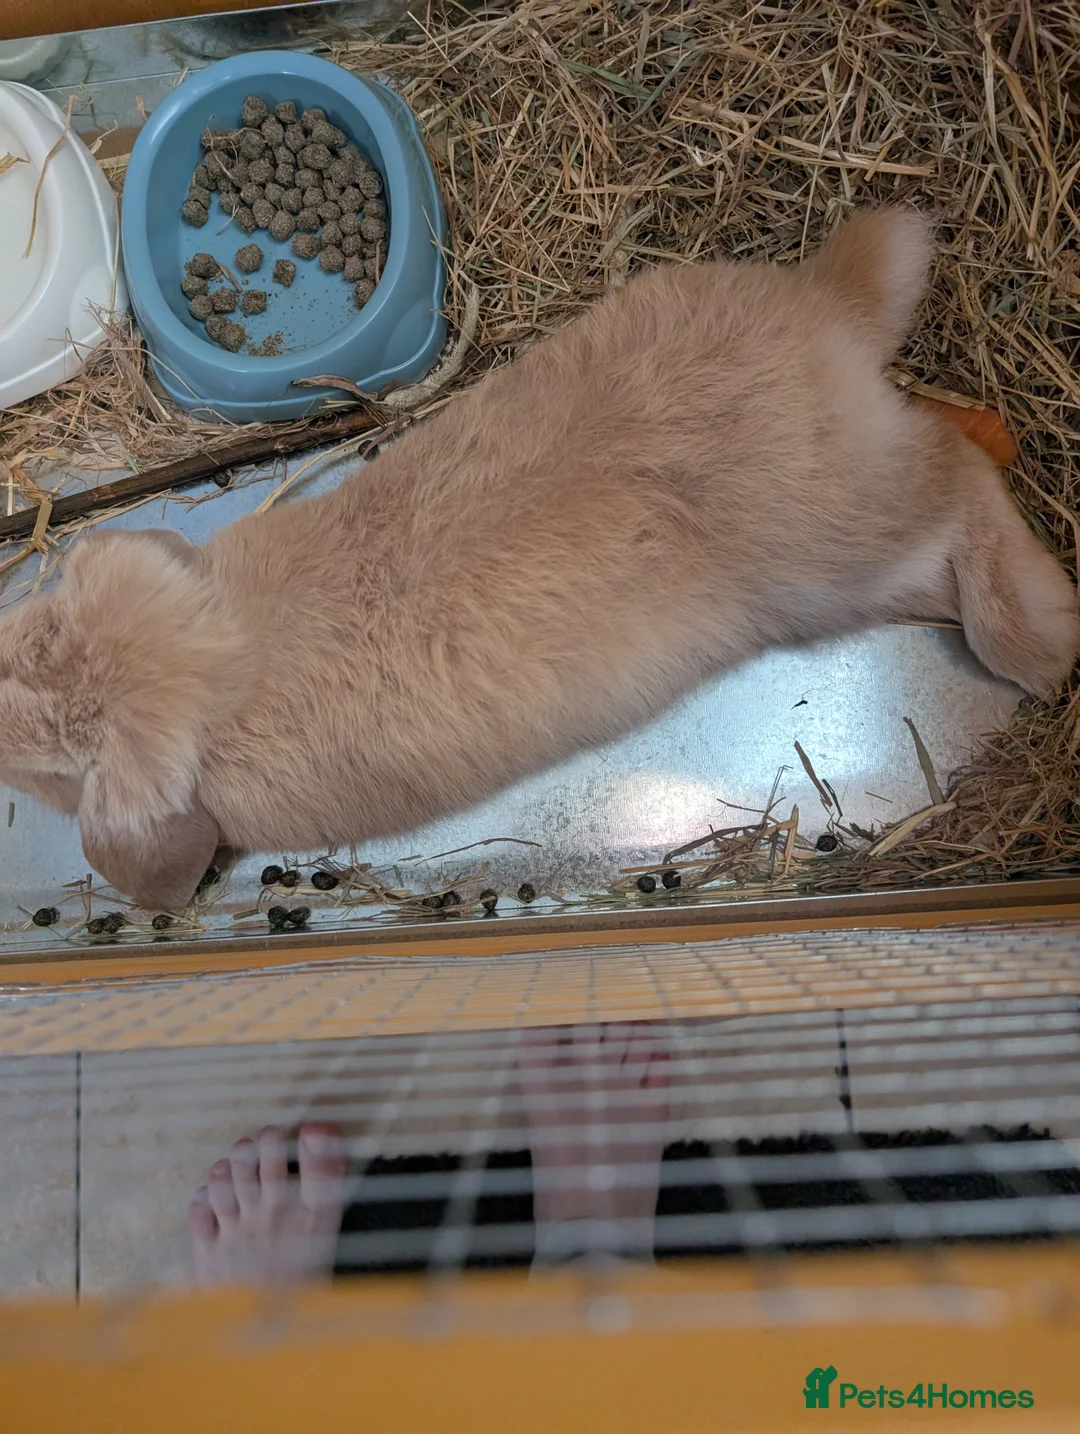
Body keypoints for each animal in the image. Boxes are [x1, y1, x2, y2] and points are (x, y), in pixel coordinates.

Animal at [0, 207, 1076, 912]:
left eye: (42, 769)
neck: (210, 651)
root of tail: (830, 312)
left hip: (837, 552)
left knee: (959, 483)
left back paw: (1043, 638)